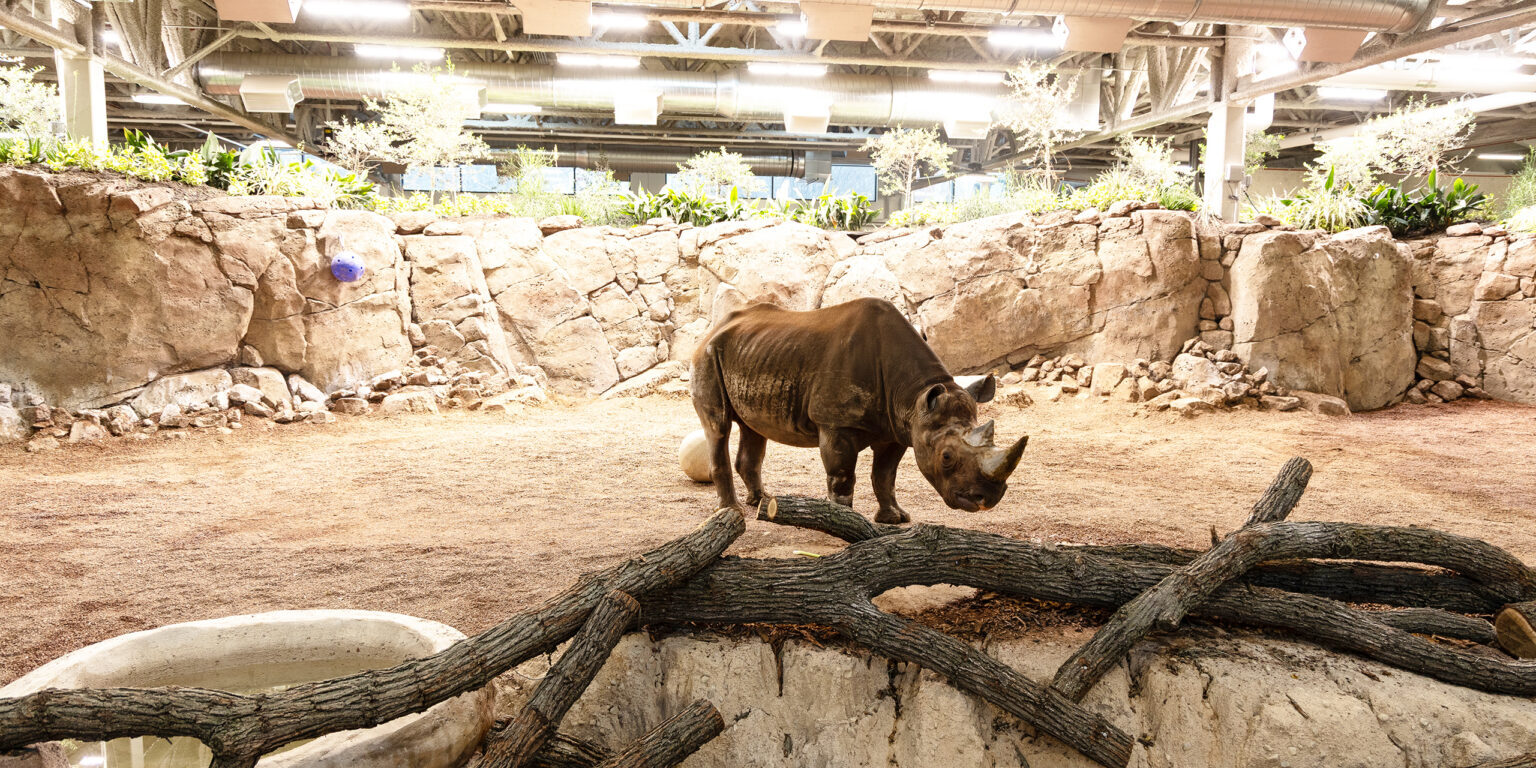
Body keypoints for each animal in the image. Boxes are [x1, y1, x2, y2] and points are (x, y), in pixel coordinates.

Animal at [690, 297, 1028, 523]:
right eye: (946, 457)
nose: (987, 500)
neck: (914, 394)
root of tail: (715, 327)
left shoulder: (899, 427)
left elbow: (885, 475)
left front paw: (895, 518)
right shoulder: (835, 423)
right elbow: (842, 476)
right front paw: (844, 523)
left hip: (752, 351)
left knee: (753, 429)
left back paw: (761, 501)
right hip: (707, 355)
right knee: (718, 426)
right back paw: (732, 511)